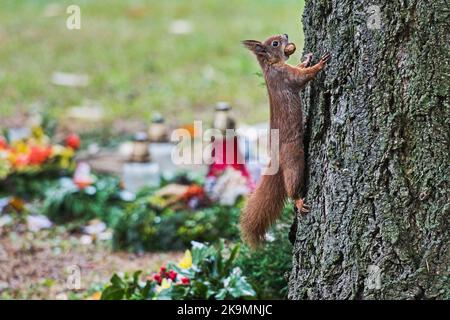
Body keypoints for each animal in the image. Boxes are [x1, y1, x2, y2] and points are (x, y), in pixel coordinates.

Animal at [243, 33, 330, 246]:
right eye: (275, 43)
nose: (285, 35)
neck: (271, 66)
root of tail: (277, 158)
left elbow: (300, 68)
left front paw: (307, 59)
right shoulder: (286, 76)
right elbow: (303, 77)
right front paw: (319, 64)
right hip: (294, 161)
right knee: (292, 185)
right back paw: (298, 201)